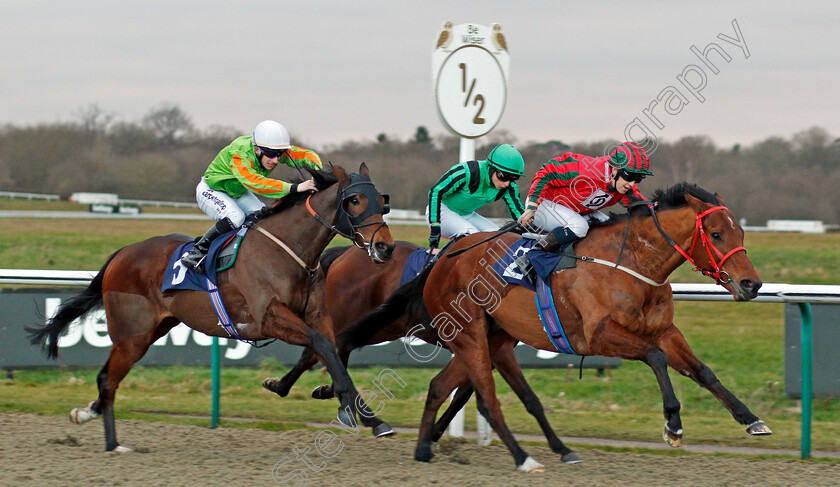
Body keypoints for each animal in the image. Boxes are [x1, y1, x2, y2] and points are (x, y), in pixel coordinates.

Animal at [31, 165, 398, 454]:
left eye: (383, 202)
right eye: (355, 200)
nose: (385, 247)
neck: (290, 252)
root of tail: (123, 253)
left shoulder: (317, 316)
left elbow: (333, 355)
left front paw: (368, 417)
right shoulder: (269, 318)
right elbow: (323, 348)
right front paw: (357, 413)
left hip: (152, 330)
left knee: (107, 378)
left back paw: (85, 414)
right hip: (132, 335)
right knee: (108, 379)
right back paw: (112, 444)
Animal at [370, 184, 772, 472]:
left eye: (741, 232)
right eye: (716, 234)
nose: (752, 284)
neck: (629, 263)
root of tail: (441, 259)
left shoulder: (664, 330)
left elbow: (703, 371)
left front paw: (751, 419)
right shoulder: (598, 337)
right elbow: (656, 358)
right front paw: (673, 424)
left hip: (491, 337)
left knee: (440, 386)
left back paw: (424, 448)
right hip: (469, 334)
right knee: (482, 396)